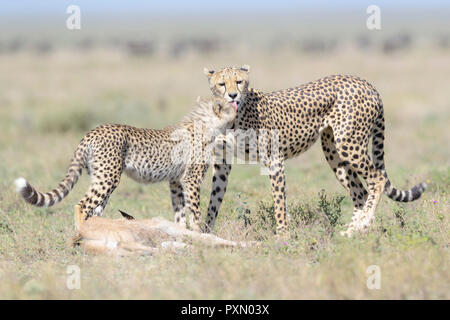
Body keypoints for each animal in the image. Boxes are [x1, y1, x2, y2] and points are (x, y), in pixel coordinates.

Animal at [15, 95, 237, 230]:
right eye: (230, 101)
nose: (237, 101)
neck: (208, 123)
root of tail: (93, 131)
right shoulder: (191, 179)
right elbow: (195, 211)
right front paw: (199, 234)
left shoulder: (175, 181)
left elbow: (180, 212)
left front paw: (183, 234)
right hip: (108, 177)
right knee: (82, 205)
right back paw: (80, 236)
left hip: (101, 176)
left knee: (95, 210)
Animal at [202, 65, 428, 235]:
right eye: (222, 84)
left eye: (239, 81)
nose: (233, 95)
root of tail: (363, 81)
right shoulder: (222, 162)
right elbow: (214, 199)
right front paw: (204, 233)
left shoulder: (274, 160)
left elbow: (279, 202)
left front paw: (282, 236)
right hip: (333, 151)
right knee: (361, 192)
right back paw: (353, 231)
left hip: (349, 143)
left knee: (377, 180)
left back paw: (360, 226)